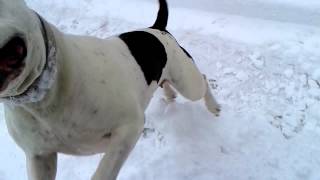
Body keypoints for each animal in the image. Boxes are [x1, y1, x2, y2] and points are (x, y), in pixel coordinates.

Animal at [0, 0, 220, 179]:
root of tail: (156, 28)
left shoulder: (129, 130)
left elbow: (103, 172)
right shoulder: (40, 156)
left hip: (188, 82)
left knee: (202, 80)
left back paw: (213, 106)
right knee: (166, 82)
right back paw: (170, 94)